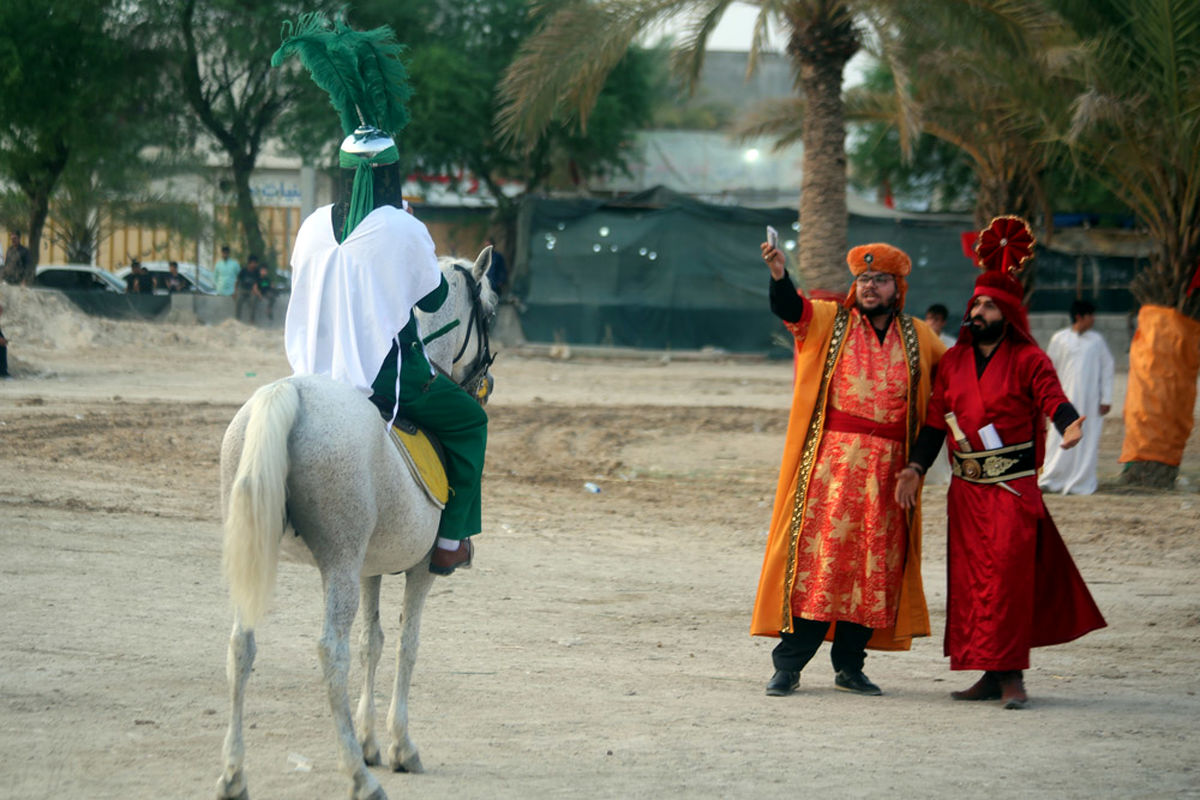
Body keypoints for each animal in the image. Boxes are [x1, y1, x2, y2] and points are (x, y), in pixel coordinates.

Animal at [216, 247, 496, 796]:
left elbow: (375, 641)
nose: (483, 385)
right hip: (339, 566)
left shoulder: (372, 569)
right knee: (332, 651)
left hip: (258, 555)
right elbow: (407, 645)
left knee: (242, 644)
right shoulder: (418, 572)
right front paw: (398, 746)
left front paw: (371, 740)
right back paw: (358, 776)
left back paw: (235, 773)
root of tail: (290, 394)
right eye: (491, 313)